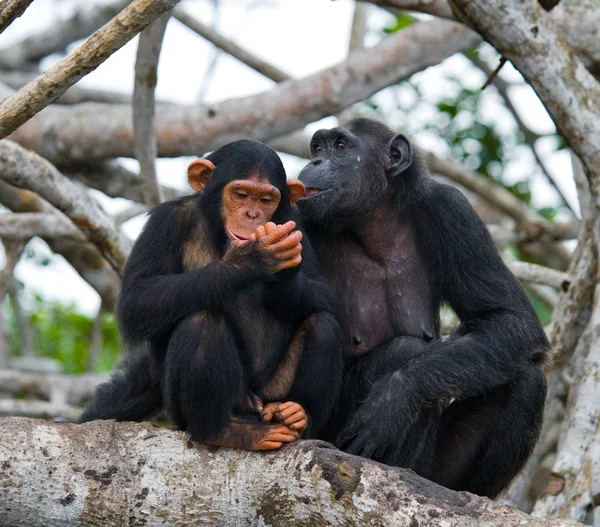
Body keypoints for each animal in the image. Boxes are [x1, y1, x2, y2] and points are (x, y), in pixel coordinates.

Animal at [80, 139, 342, 450]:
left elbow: (320, 293)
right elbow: (139, 298)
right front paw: (253, 258)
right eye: (241, 195)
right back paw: (227, 430)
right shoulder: (164, 221)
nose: (252, 215)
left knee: (323, 324)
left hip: (272, 393)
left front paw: (282, 271)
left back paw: (298, 416)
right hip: (199, 408)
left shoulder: (296, 225)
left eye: (266, 200)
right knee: (202, 322)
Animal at [296, 118, 548, 500]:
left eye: (339, 147)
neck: (373, 222)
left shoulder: (453, 210)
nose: (314, 162)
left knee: (528, 379)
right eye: (317, 147)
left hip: (435, 470)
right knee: (403, 349)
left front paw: (395, 397)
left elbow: (510, 318)